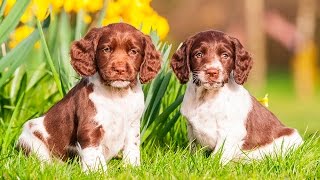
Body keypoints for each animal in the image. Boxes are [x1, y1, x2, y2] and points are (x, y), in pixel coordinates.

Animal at [16, 22, 161, 172]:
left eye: (133, 51)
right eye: (106, 49)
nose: (119, 69)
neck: (118, 94)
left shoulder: (133, 124)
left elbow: (132, 147)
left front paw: (132, 168)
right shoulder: (91, 126)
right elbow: (94, 152)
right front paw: (97, 172)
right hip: (31, 139)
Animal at [170, 30, 302, 163]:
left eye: (225, 55)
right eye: (199, 54)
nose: (212, 72)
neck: (207, 97)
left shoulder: (231, 132)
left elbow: (217, 157)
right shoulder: (191, 128)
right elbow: (193, 149)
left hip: (291, 137)